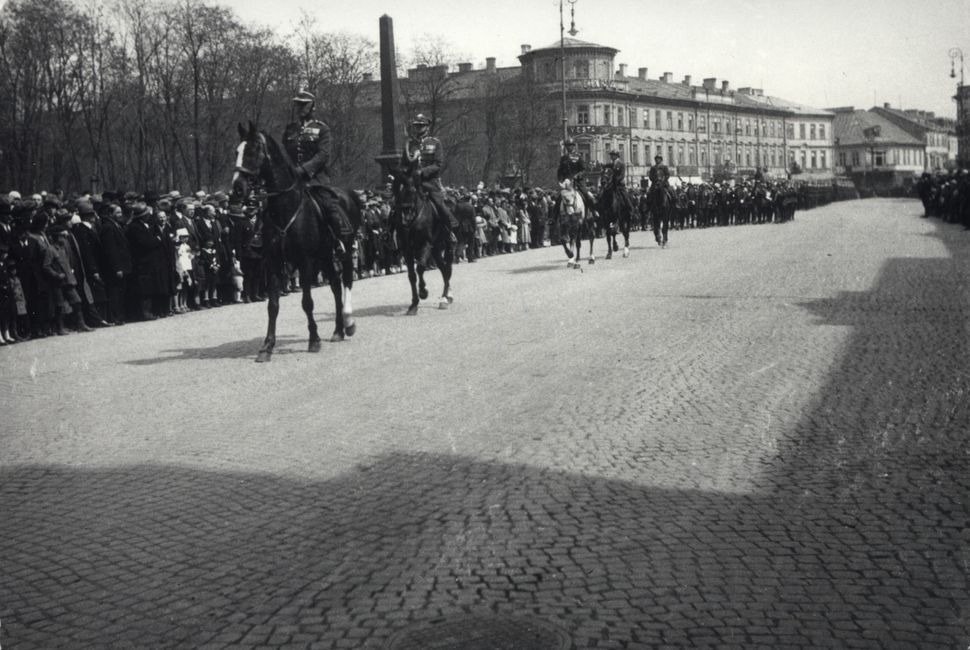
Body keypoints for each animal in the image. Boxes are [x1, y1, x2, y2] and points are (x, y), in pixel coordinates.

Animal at [232, 123, 364, 360]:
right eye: (236, 152)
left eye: (253, 151)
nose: (237, 188)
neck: (285, 207)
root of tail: (349, 194)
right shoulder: (273, 263)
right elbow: (273, 305)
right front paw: (267, 346)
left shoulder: (305, 262)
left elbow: (307, 302)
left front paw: (314, 340)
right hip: (325, 256)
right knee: (335, 286)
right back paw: (338, 330)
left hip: (345, 249)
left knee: (347, 279)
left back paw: (348, 322)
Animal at [390, 167, 454, 314]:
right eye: (397, 188)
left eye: (413, 189)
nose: (405, 212)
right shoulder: (407, 250)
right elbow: (412, 275)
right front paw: (414, 304)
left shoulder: (425, 244)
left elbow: (420, 268)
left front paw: (423, 292)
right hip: (436, 249)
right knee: (443, 269)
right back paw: (445, 297)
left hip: (445, 246)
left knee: (447, 269)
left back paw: (445, 297)